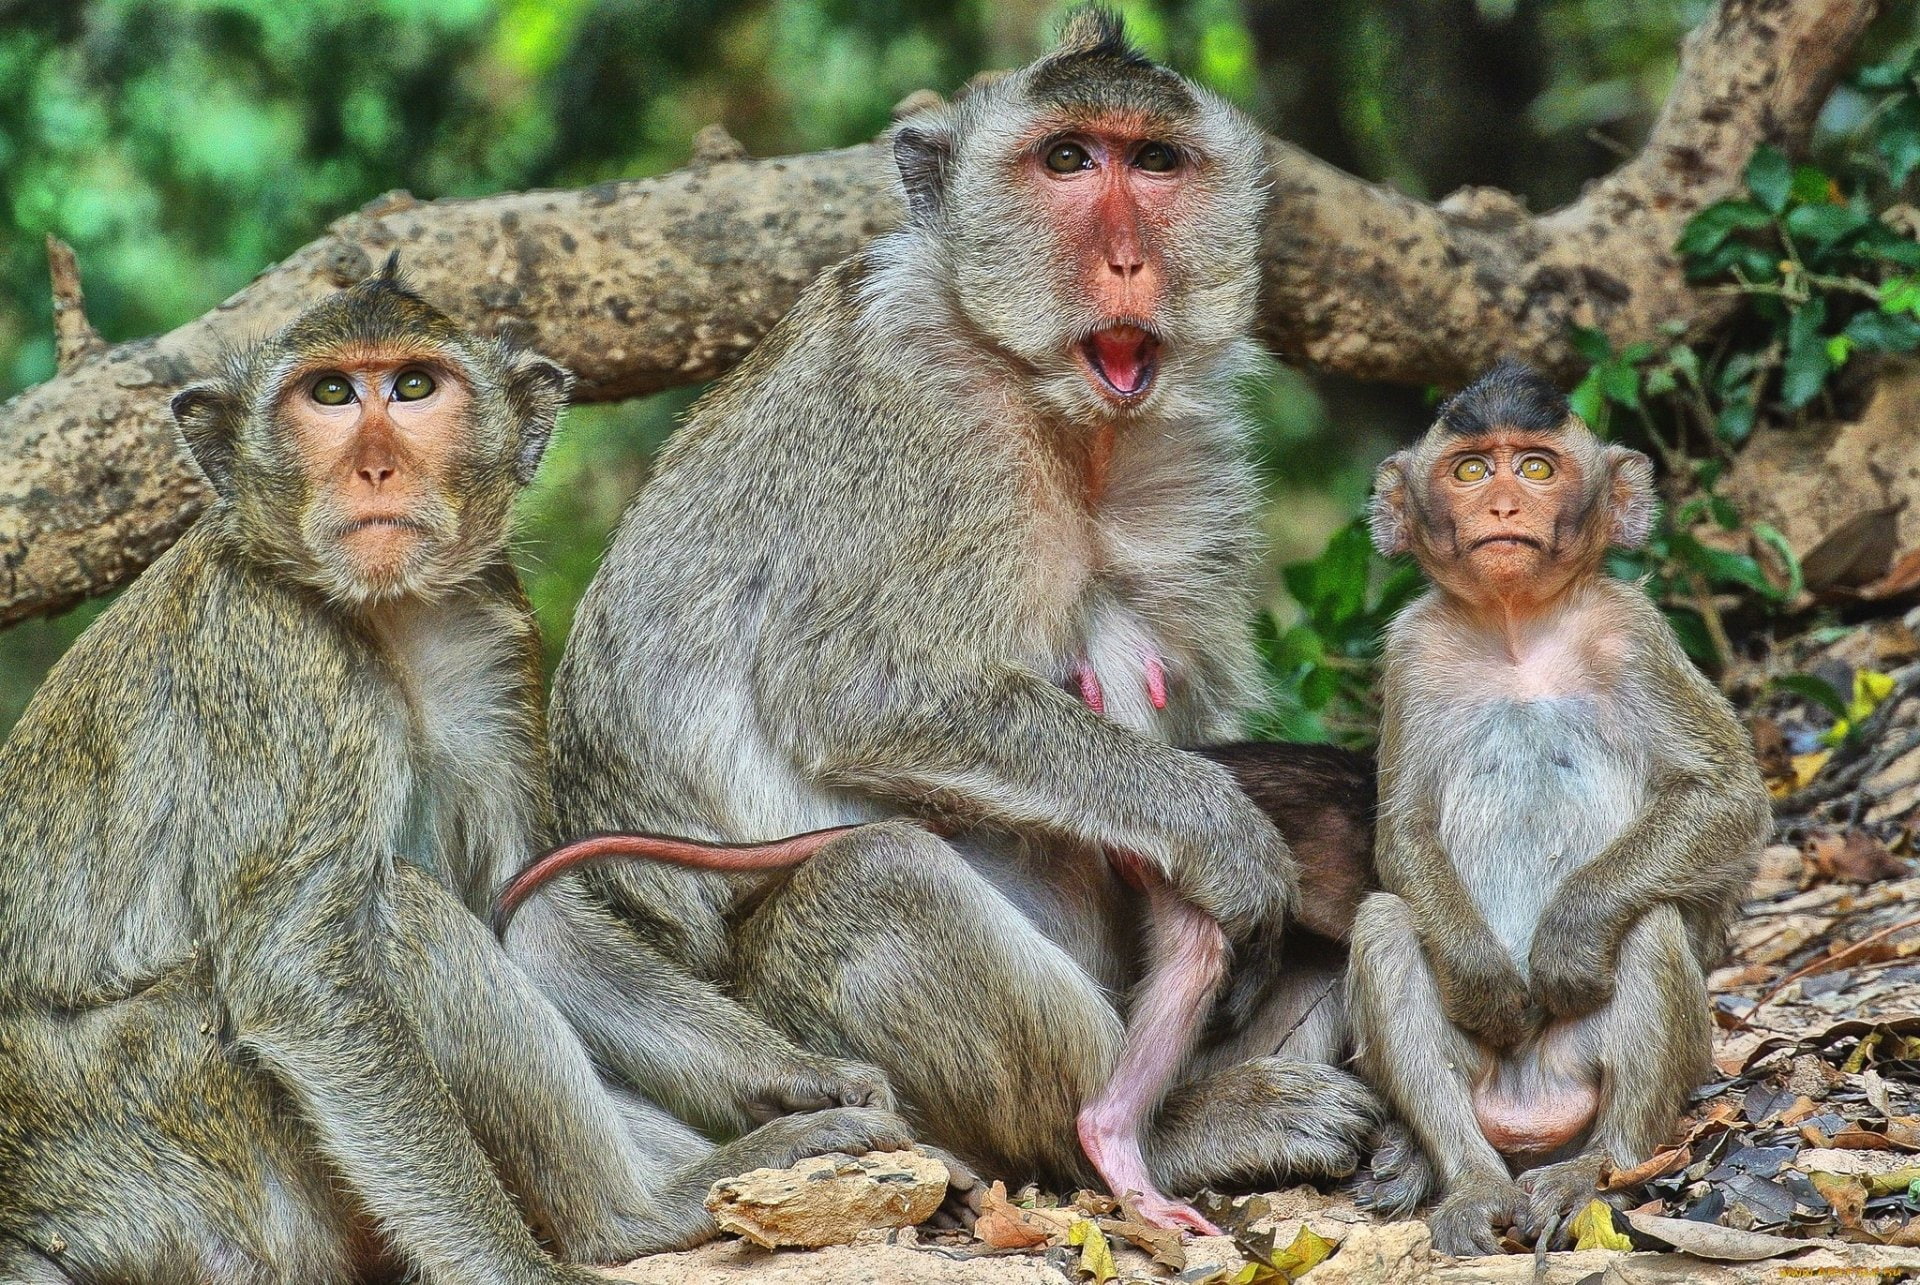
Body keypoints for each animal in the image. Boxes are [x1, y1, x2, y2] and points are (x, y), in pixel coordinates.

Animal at [0, 270, 913, 1285]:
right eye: (328, 394)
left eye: (412, 388)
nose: (375, 468)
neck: (386, 616)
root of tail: (37, 1217)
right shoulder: (282, 662)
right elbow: (299, 978)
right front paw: (519, 1267)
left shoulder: (493, 629)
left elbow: (535, 916)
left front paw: (801, 1074)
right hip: (171, 1137)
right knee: (404, 915)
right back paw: (627, 1219)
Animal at [536, 7, 1379, 1237]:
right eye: (1066, 160)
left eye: (1155, 162)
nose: (1128, 260)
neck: (1058, 413)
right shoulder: (922, 424)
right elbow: (863, 691)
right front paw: (1221, 830)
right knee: (881, 883)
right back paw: (1158, 1133)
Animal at [1346, 360, 1769, 1256]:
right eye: (1472, 469)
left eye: (1537, 467)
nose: (1505, 506)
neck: (1518, 634)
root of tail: (1531, 1111)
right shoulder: (1412, 652)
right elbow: (1404, 830)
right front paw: (1485, 981)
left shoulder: (1635, 632)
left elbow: (1726, 797)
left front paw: (1570, 937)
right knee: (1388, 923)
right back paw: (1468, 1180)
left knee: (1650, 925)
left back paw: (1593, 1170)